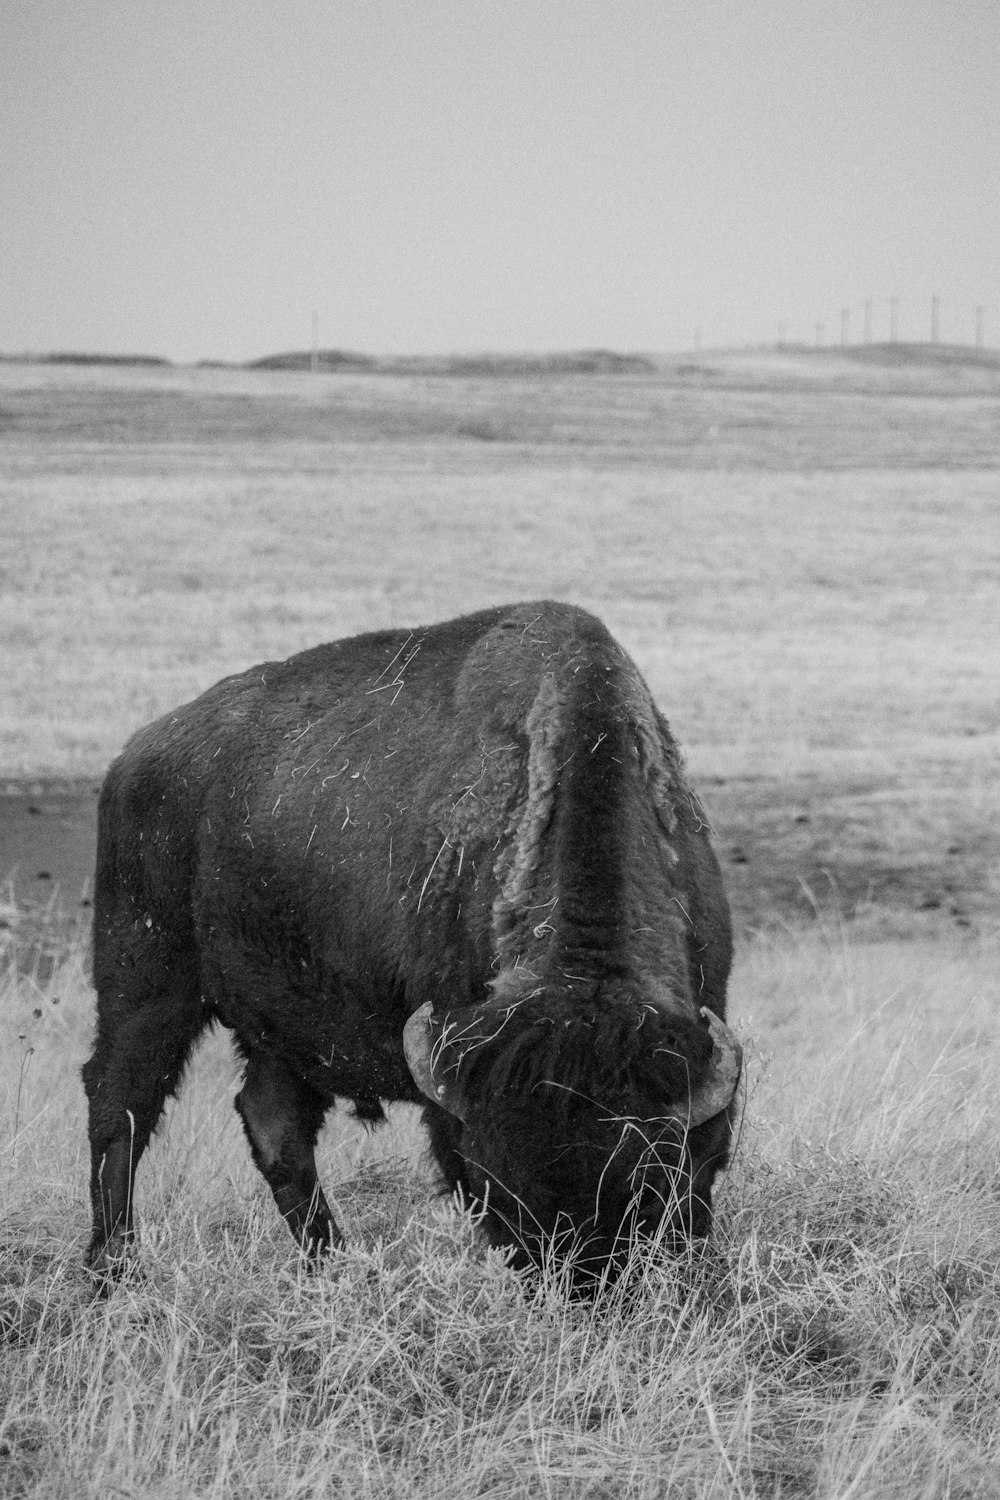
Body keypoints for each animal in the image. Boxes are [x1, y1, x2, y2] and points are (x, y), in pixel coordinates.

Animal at [83, 603, 743, 1296]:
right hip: (146, 984)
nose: (576, 1283)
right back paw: (113, 1268)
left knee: (273, 1124)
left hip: (279, 1030)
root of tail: (135, 756)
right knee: (120, 1104)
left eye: (646, 1179)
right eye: (497, 1182)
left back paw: (329, 1264)